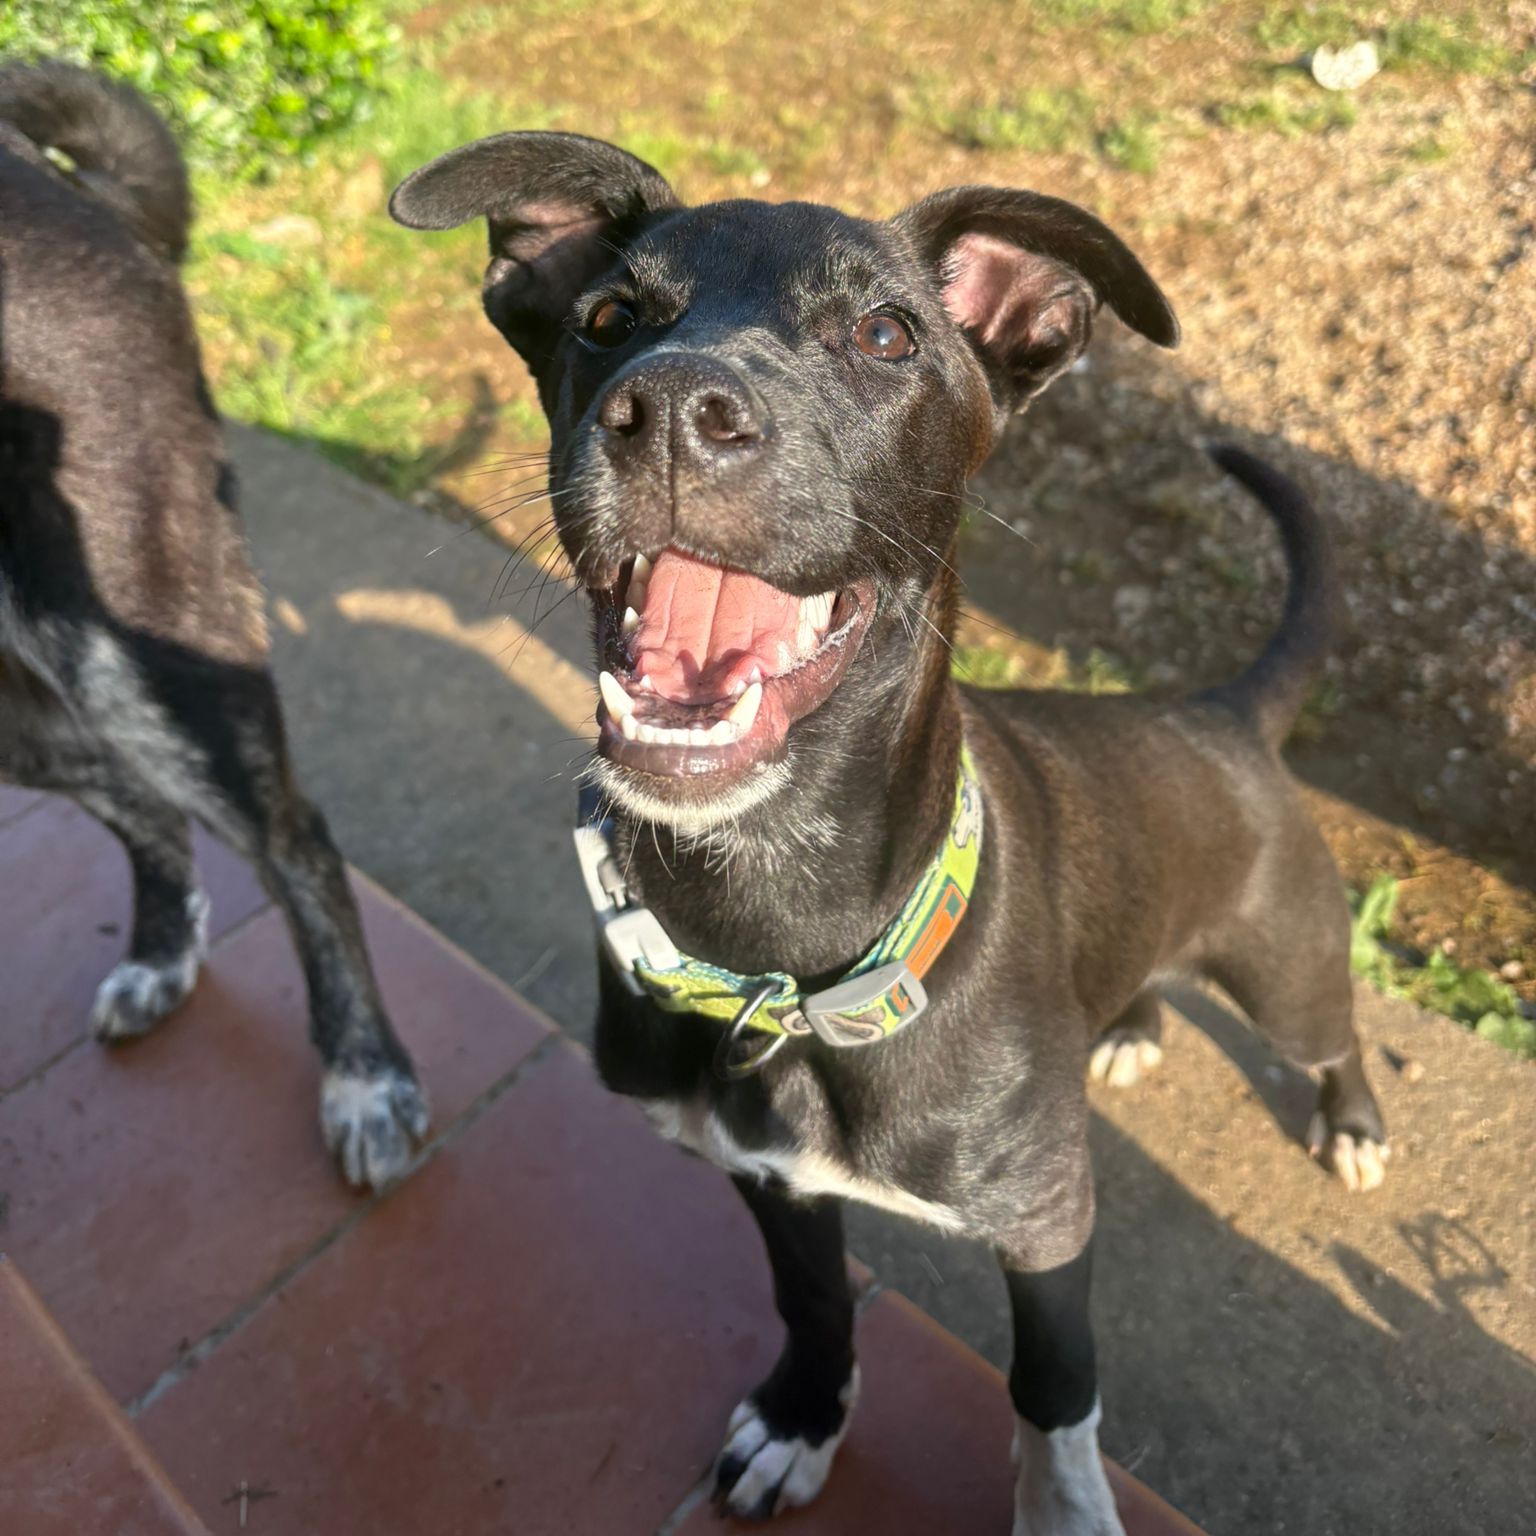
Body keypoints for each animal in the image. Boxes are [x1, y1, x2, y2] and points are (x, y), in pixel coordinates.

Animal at [391, 131, 1388, 1532]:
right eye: (606, 319)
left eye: (884, 334)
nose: (672, 411)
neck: (779, 930)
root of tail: (1222, 710)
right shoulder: (770, 1177)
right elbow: (812, 1300)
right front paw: (805, 1419)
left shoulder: (1046, 1217)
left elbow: (1053, 1386)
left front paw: (1064, 1506)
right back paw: (1130, 1027)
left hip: (1288, 970)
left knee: (1331, 1037)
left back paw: (1350, 1123)